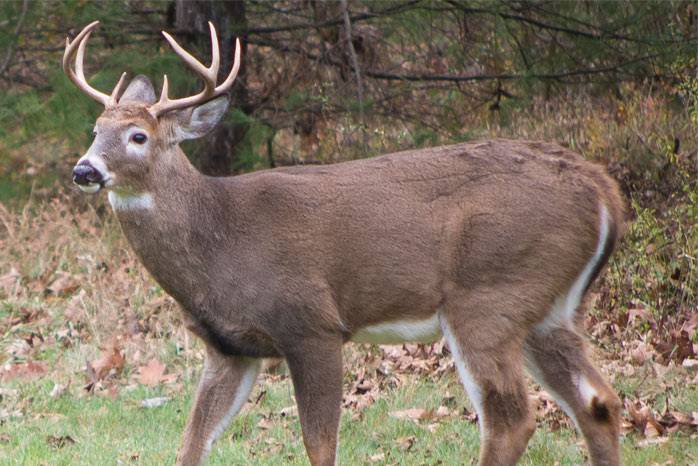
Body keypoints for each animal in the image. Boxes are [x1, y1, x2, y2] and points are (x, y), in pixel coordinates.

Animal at [65, 20, 626, 466]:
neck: (218, 243)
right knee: (598, 402)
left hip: (489, 295)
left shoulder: (311, 323)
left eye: (138, 136)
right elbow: (191, 444)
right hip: (548, 308)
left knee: (512, 419)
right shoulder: (229, 348)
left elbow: (320, 445)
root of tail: (605, 192)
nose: (84, 170)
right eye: (94, 129)